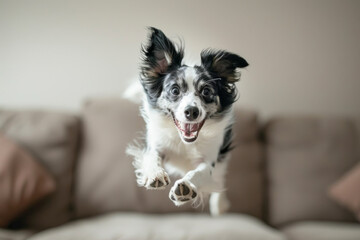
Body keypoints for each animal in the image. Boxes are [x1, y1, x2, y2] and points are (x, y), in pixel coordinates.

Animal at [126, 27, 248, 215]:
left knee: (220, 178)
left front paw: (186, 187)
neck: (185, 142)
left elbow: (198, 173)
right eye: (175, 90)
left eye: (206, 91)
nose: (191, 111)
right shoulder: (156, 145)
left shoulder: (210, 160)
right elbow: (152, 156)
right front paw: (155, 174)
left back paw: (219, 204)